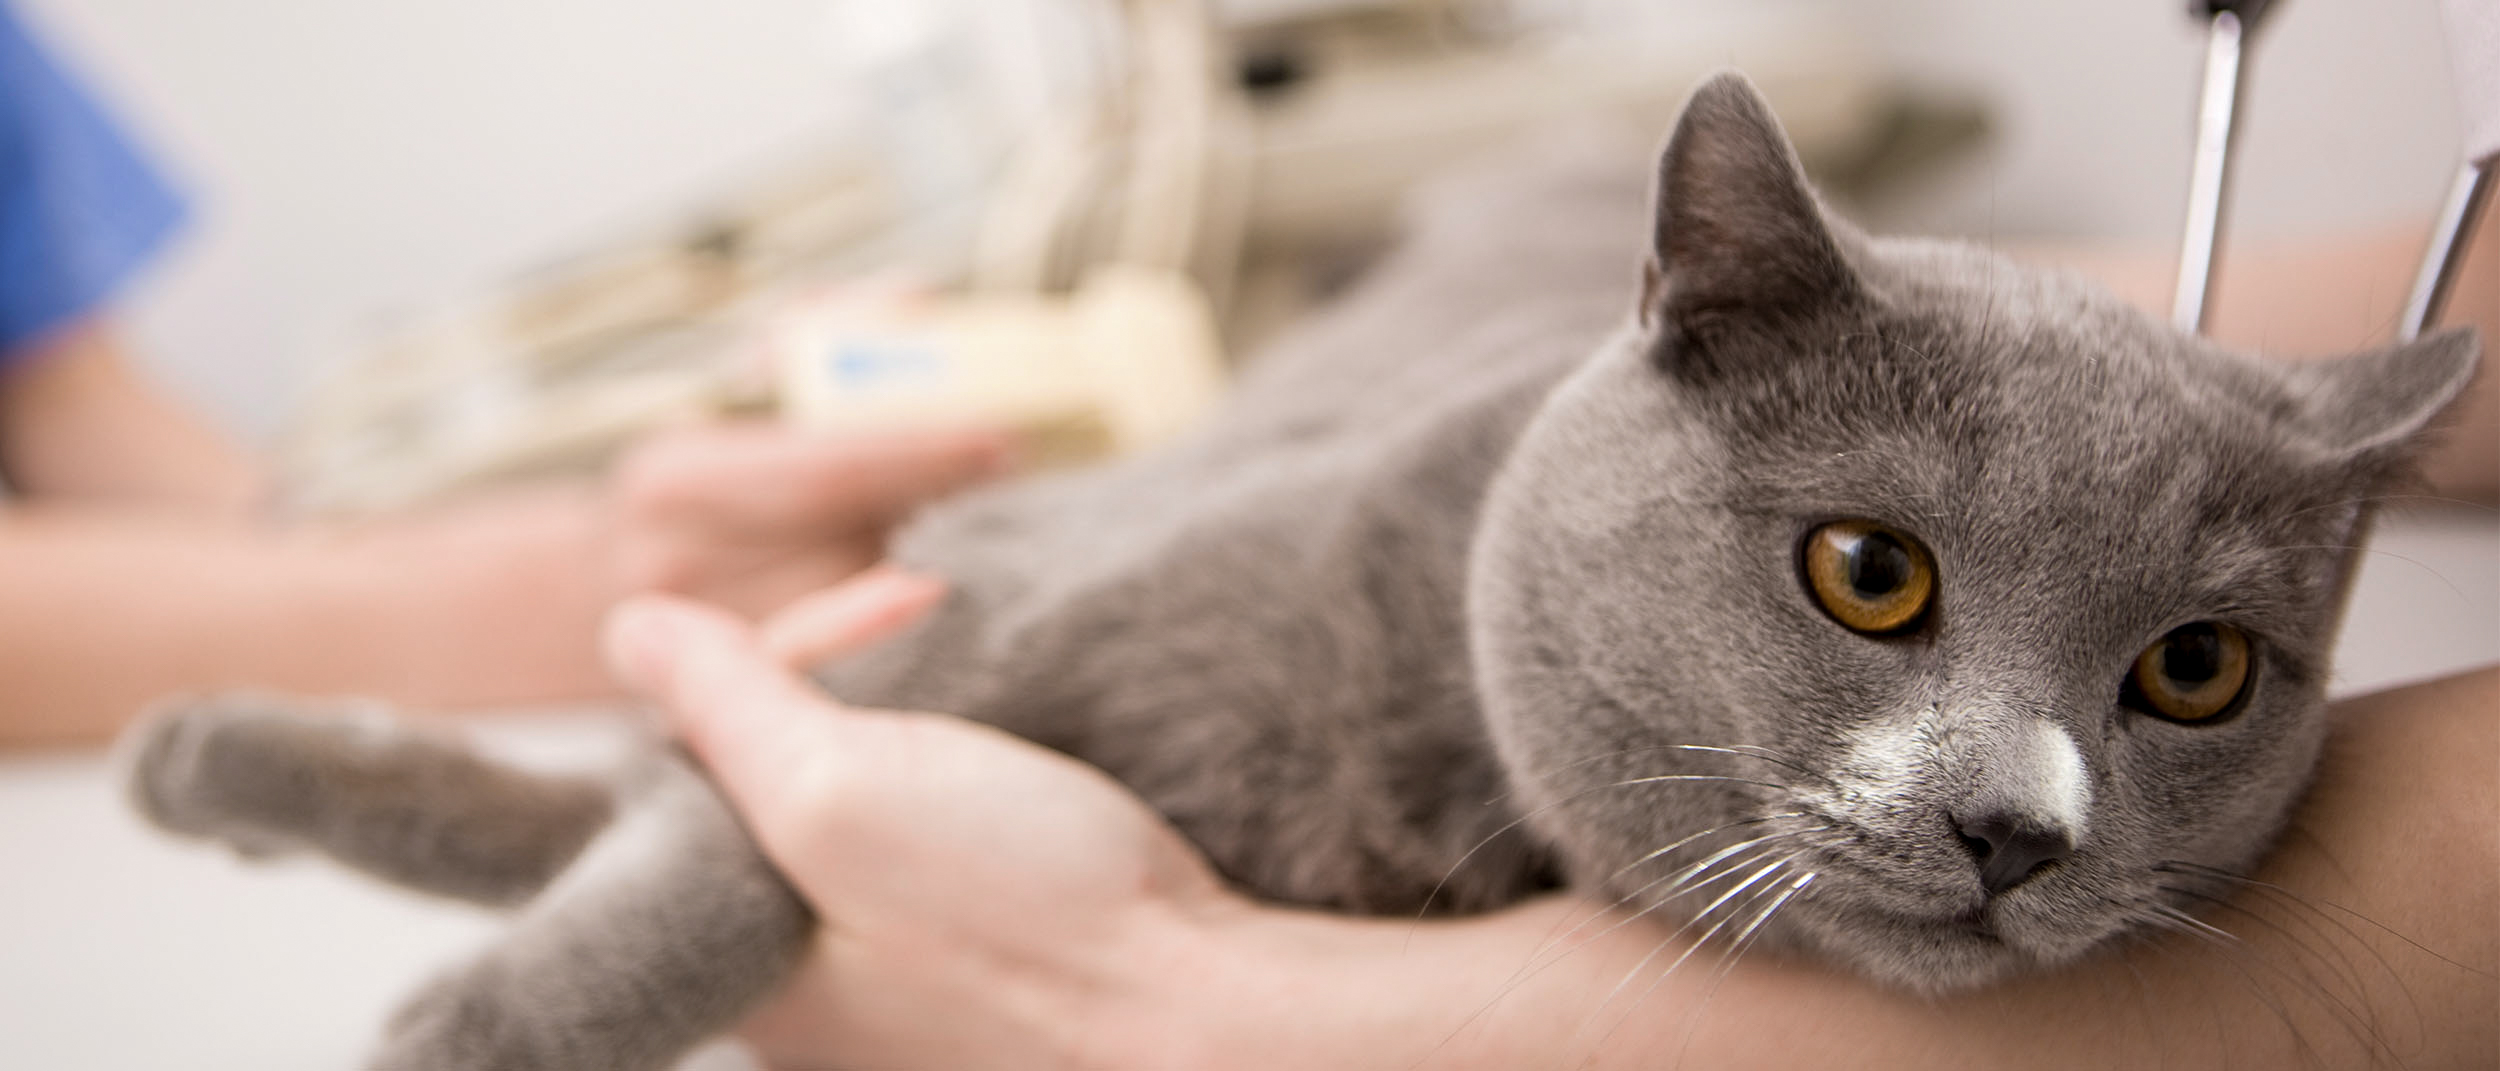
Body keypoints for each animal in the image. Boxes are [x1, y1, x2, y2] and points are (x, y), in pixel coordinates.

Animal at [121, 71, 2480, 1065]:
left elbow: (683, 813)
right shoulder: (981, 591)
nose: (2017, 826)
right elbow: (707, 832)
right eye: (1868, 574)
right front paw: (472, 1008)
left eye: (2194, 672)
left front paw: (455, 1000)